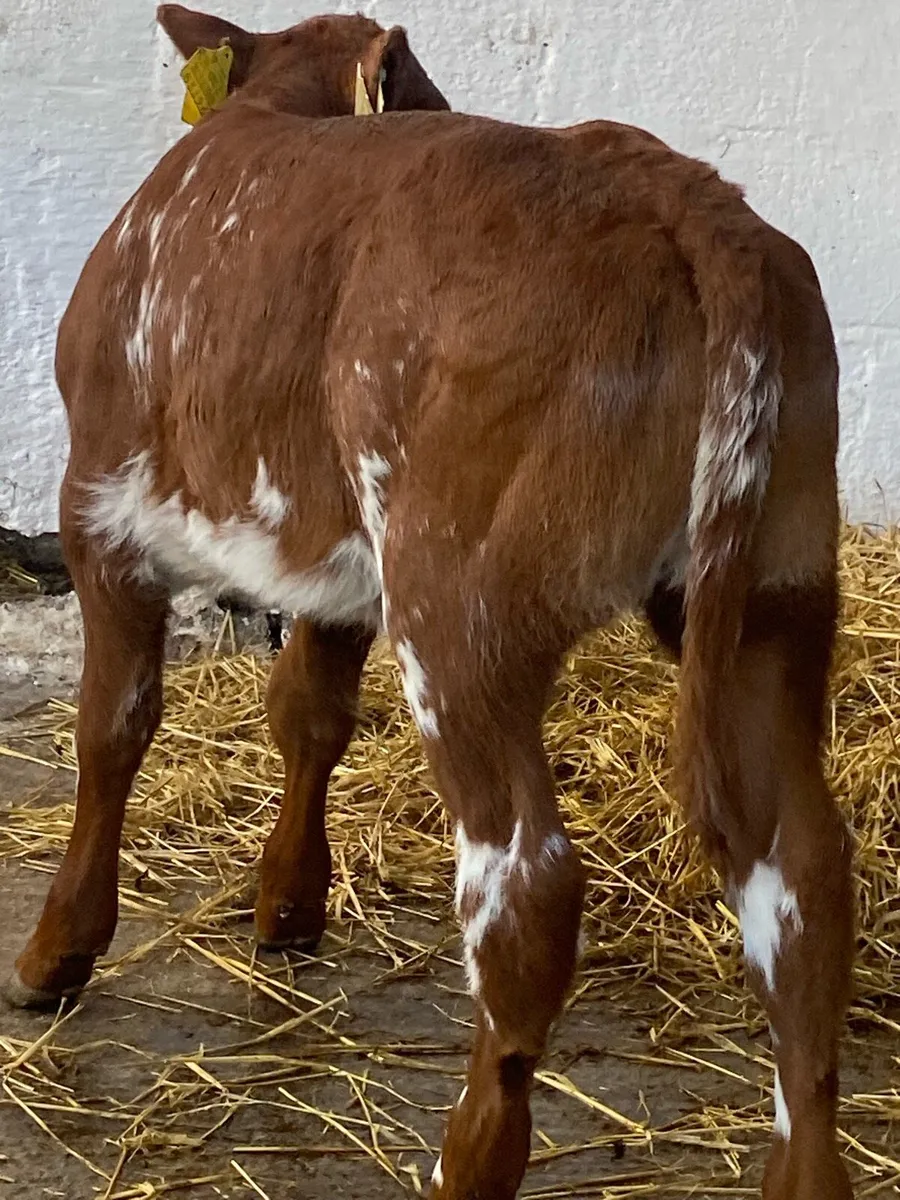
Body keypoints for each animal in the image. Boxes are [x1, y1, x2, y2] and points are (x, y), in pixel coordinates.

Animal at [6, 6, 853, 1198]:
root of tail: (683, 195)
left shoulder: (99, 505)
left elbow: (111, 727)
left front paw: (57, 952)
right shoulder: (331, 563)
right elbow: (308, 713)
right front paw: (288, 905)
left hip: (461, 607)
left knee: (526, 887)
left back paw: (468, 1160)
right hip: (776, 587)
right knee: (804, 875)